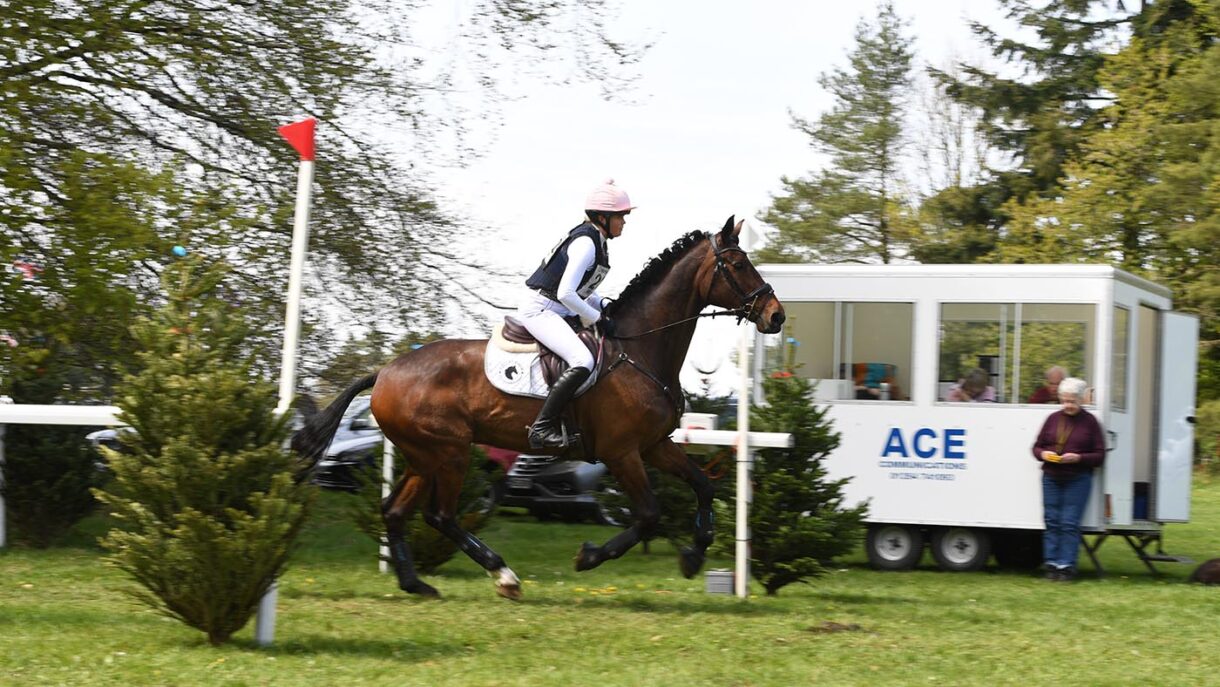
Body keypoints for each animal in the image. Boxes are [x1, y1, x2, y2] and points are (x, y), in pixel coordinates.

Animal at [292, 216, 785, 599]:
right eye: (737, 264)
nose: (776, 315)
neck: (639, 350)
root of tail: (385, 371)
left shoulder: (653, 445)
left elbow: (703, 485)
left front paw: (694, 554)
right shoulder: (622, 452)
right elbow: (648, 516)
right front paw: (590, 556)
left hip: (423, 456)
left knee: (396, 511)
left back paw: (417, 584)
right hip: (449, 452)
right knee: (440, 515)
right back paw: (503, 576)